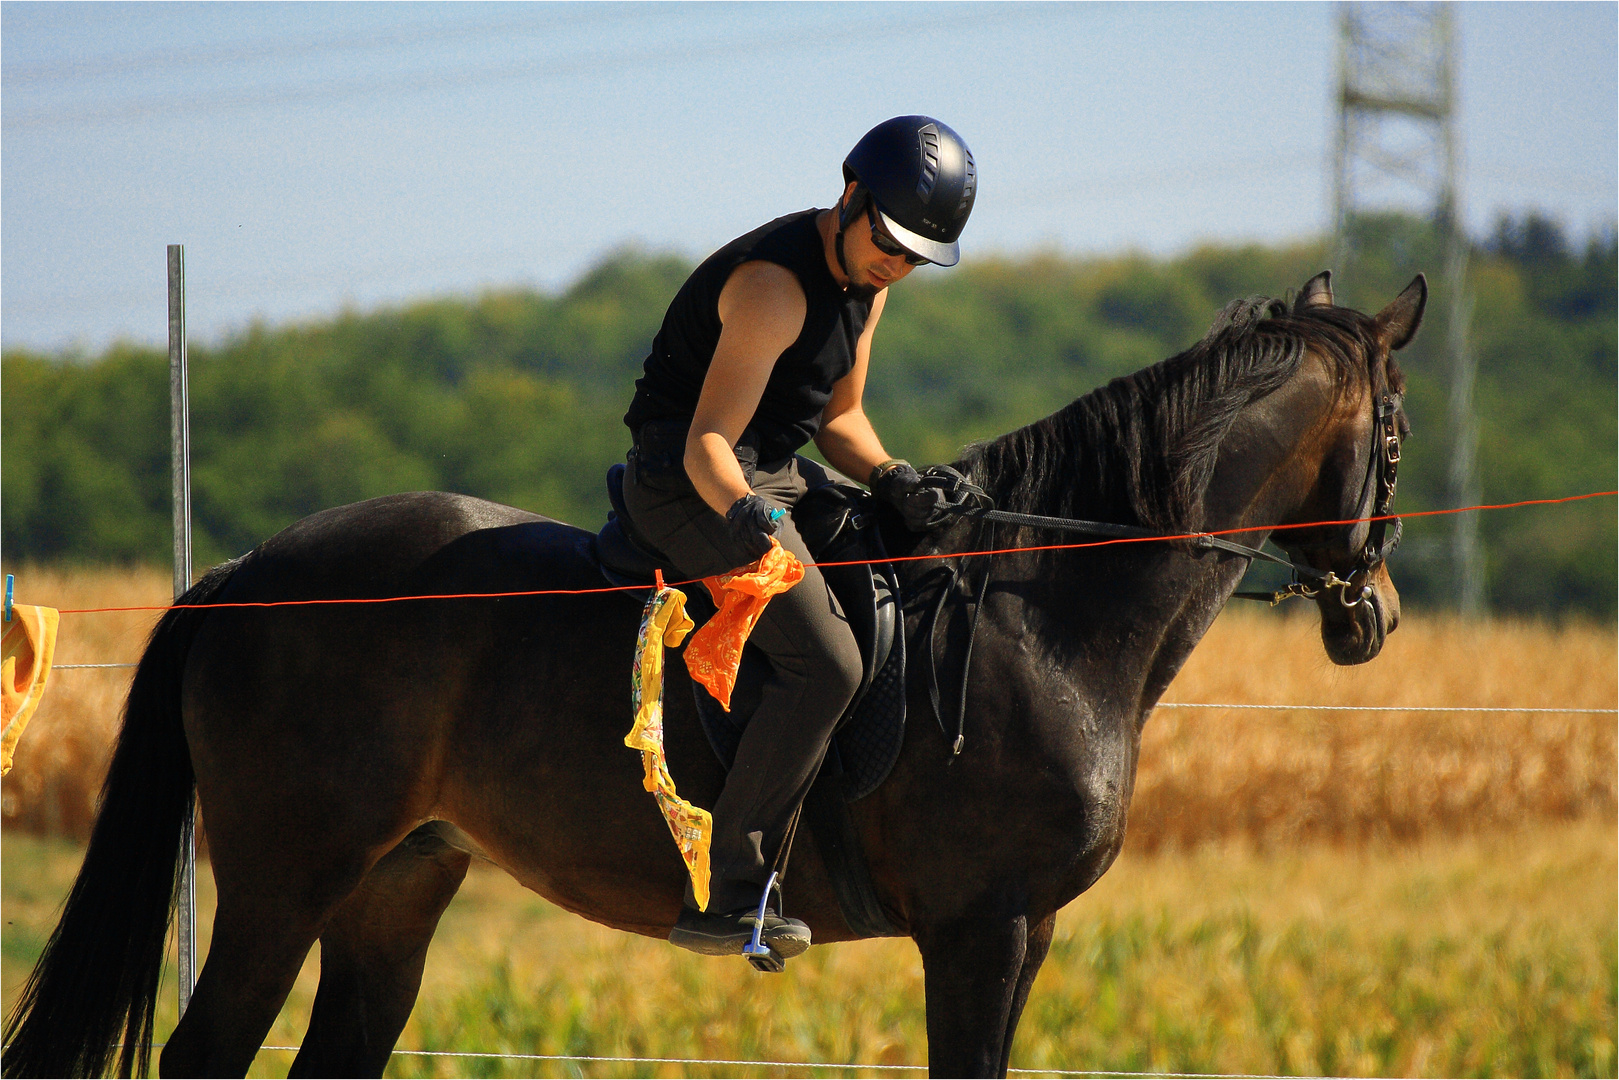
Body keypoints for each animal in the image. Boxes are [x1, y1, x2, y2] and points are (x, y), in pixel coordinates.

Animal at [6, 272, 1424, 1080]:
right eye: (1399, 430)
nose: (1377, 615)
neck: (1045, 615)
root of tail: (250, 569)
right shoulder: (982, 931)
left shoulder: (1021, 936)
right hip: (281, 884)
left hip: (394, 886)